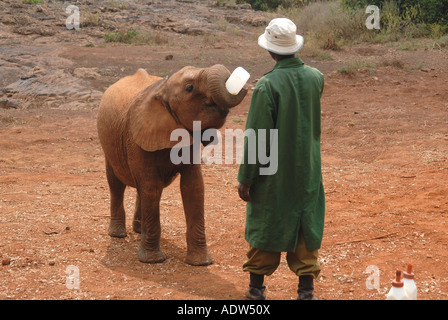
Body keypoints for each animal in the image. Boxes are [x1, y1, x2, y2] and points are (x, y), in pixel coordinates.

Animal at [96, 64, 247, 264]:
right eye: (189, 88)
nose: (243, 84)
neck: (161, 90)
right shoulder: (135, 138)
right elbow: (152, 186)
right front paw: (153, 260)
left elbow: (193, 186)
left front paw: (201, 263)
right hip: (109, 144)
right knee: (117, 184)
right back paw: (118, 234)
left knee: (140, 187)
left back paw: (139, 230)